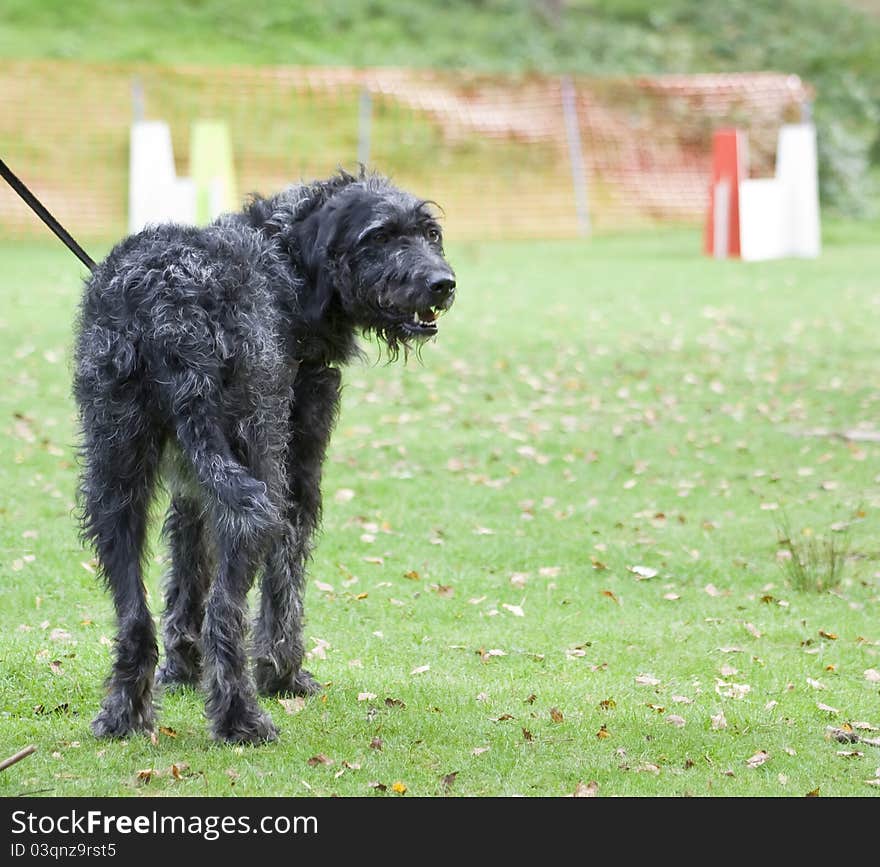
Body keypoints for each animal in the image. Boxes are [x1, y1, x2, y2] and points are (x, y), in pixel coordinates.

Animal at [75, 171, 458, 744]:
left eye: (429, 233)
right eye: (380, 236)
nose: (443, 283)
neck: (286, 262)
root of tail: (170, 302)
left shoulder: (192, 485)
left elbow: (186, 569)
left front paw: (181, 670)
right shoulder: (295, 474)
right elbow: (285, 582)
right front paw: (284, 673)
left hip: (115, 476)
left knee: (134, 614)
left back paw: (124, 714)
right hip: (255, 472)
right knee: (226, 608)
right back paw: (241, 717)